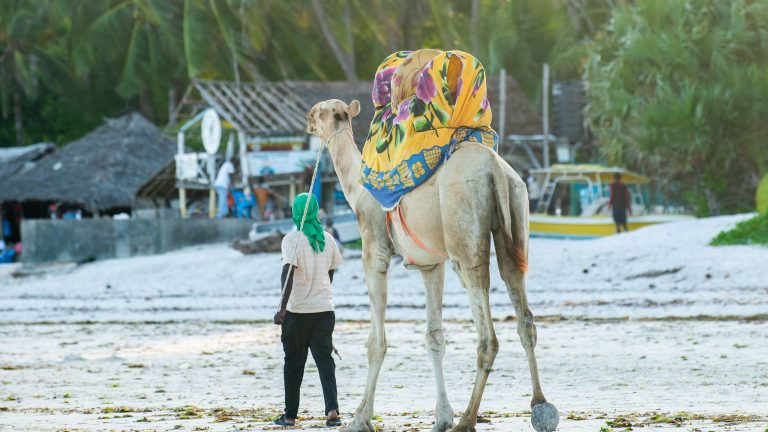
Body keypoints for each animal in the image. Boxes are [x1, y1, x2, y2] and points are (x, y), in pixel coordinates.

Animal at [306, 99, 559, 432]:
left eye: (317, 111)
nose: (307, 120)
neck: (356, 192)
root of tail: (495, 169)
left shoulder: (375, 253)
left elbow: (376, 343)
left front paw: (360, 418)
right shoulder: (430, 266)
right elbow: (434, 336)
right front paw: (441, 416)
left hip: (464, 238)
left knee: (487, 334)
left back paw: (467, 420)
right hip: (516, 213)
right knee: (523, 311)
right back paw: (540, 405)